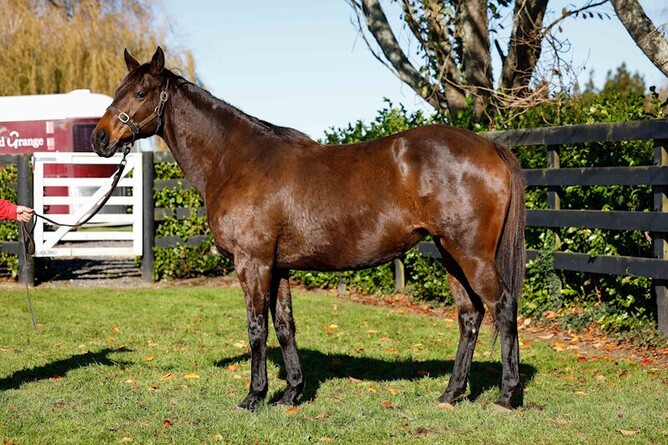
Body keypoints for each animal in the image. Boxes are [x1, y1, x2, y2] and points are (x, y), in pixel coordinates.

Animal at [92, 47, 526, 411]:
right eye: (118, 90)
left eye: (142, 92)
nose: (100, 137)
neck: (235, 160)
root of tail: (490, 148)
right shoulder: (278, 266)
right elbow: (285, 326)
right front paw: (292, 393)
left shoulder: (253, 263)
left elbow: (256, 327)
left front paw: (254, 396)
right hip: (450, 254)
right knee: (470, 315)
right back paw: (451, 393)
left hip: (471, 254)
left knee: (503, 307)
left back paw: (507, 396)